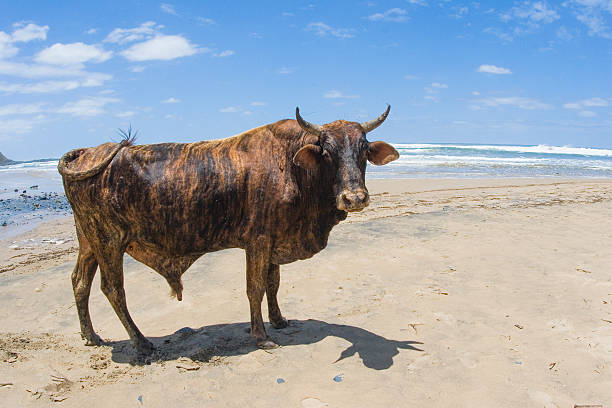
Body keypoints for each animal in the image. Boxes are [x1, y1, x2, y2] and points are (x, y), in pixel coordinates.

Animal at [57, 106, 400, 356]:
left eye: (364, 149)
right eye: (326, 150)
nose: (354, 198)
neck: (292, 166)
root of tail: (88, 151)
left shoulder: (274, 240)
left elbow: (273, 284)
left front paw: (279, 320)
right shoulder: (258, 241)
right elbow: (255, 288)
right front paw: (261, 336)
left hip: (89, 241)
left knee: (79, 282)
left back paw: (91, 335)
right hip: (109, 241)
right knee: (113, 289)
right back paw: (141, 344)